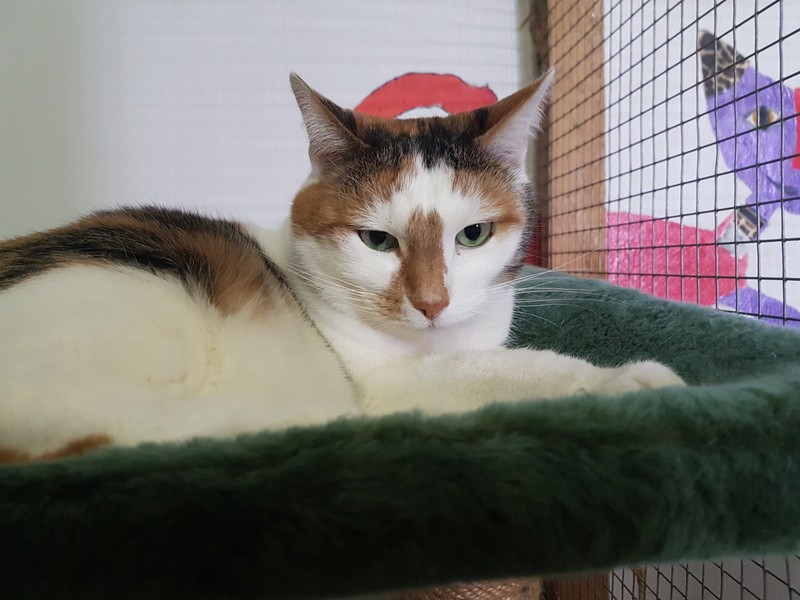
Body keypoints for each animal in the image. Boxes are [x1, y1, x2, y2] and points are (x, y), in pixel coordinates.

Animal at [0, 72, 684, 462]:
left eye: (474, 234)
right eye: (377, 240)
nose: (432, 303)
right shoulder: (384, 384)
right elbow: (506, 371)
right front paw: (629, 384)